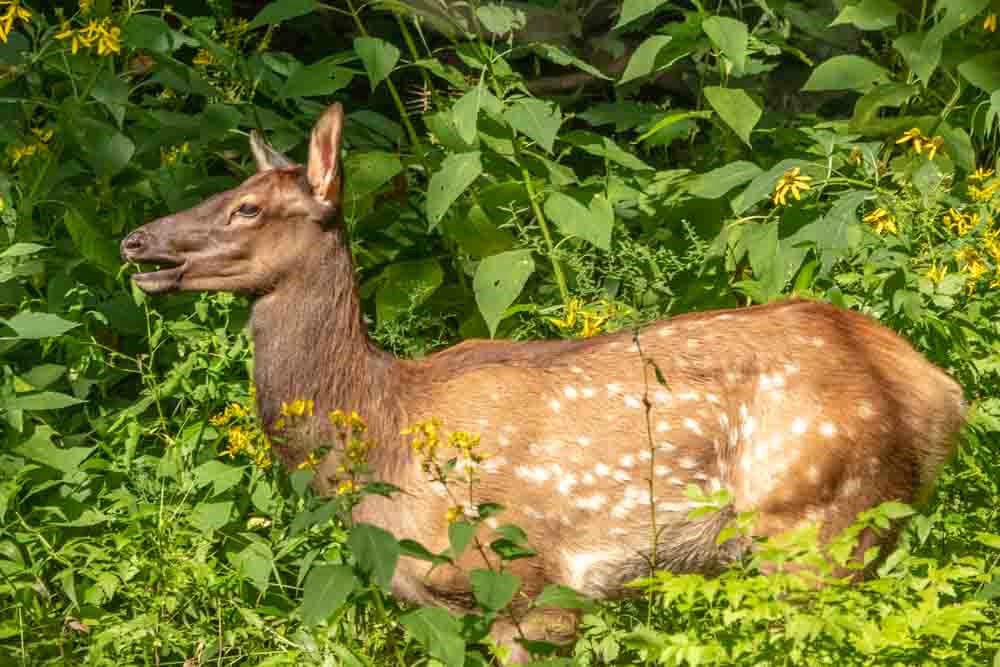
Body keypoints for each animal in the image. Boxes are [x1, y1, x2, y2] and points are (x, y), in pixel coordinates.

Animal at [121, 104, 964, 664]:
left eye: (247, 206)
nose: (136, 240)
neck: (382, 432)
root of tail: (938, 390)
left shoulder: (526, 578)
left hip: (817, 517)